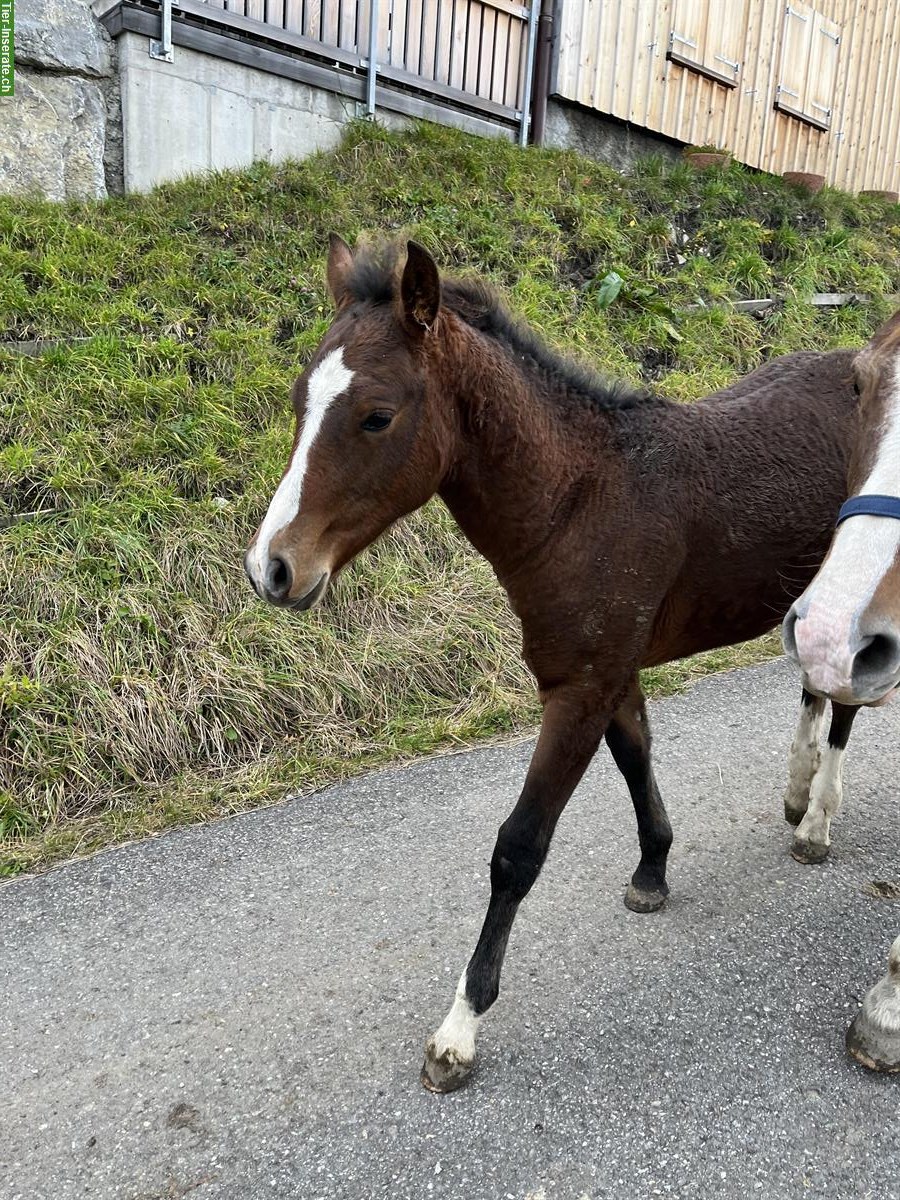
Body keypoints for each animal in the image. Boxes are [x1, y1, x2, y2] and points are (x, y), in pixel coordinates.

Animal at [247, 238, 859, 1094]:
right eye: (299, 398)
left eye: (376, 415)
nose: (271, 569)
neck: (580, 502)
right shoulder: (607, 677)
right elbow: (636, 760)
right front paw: (652, 872)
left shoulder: (580, 689)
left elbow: (518, 849)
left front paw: (458, 1031)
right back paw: (799, 794)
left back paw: (819, 823)